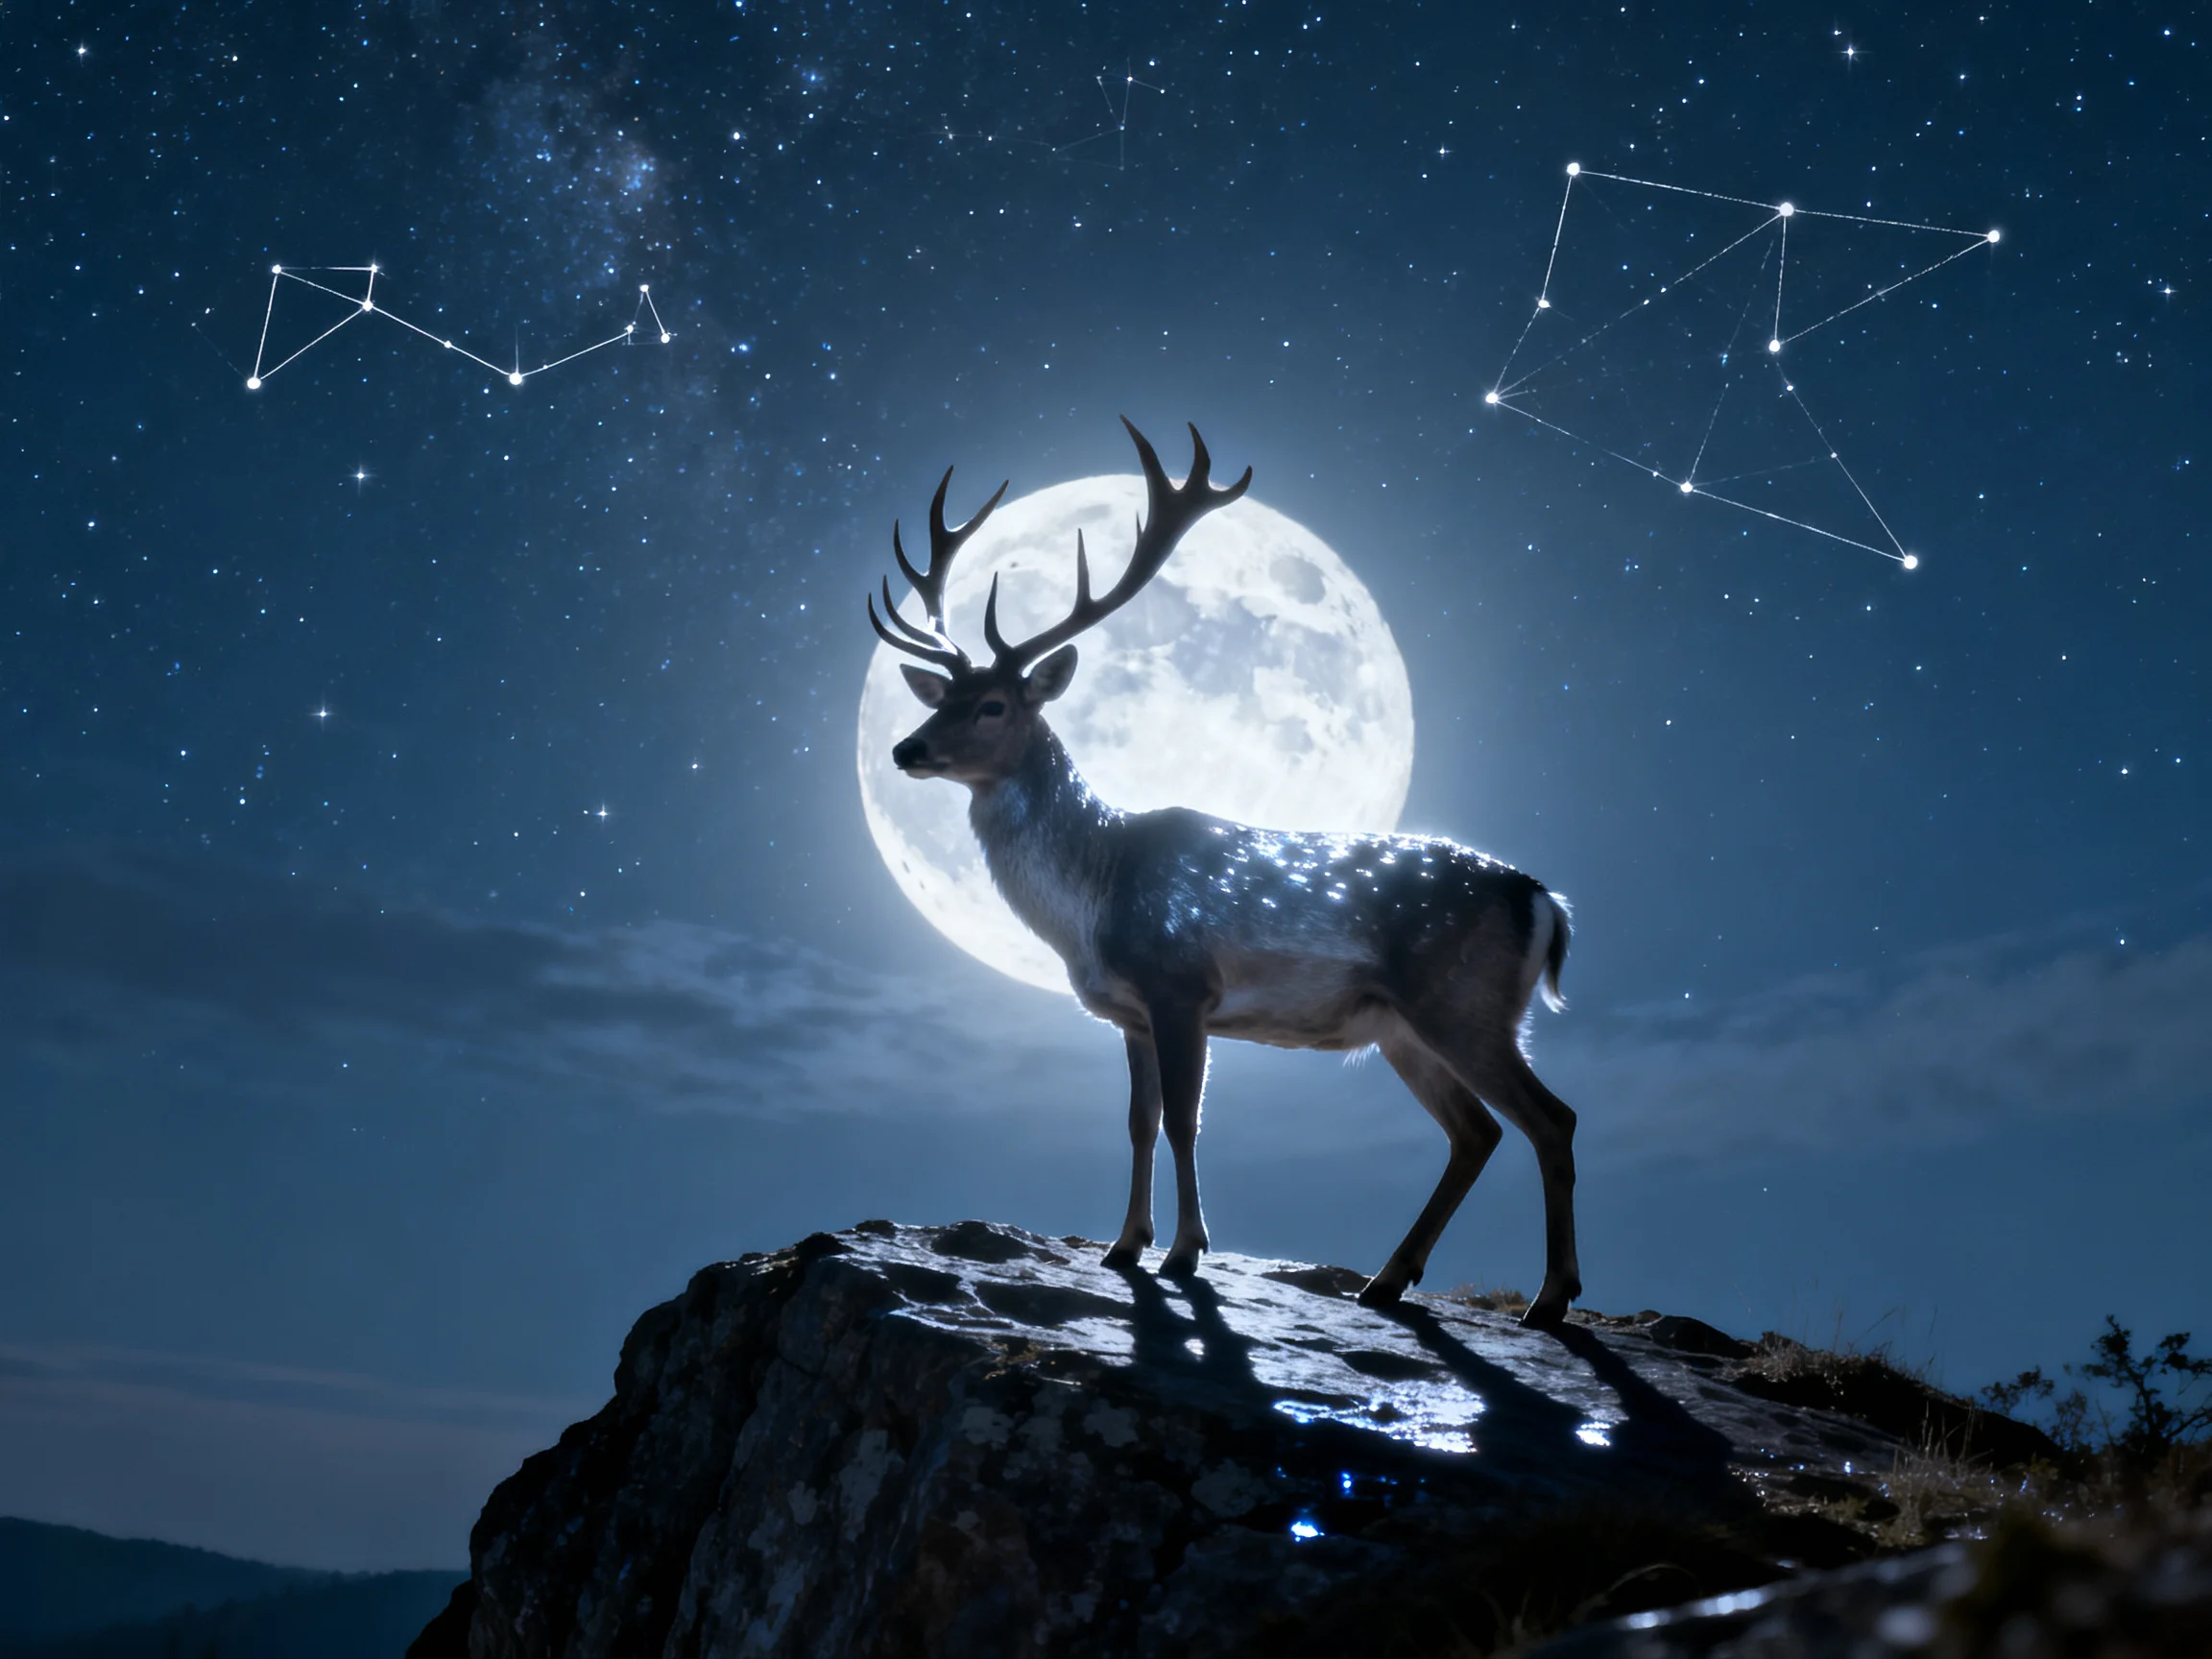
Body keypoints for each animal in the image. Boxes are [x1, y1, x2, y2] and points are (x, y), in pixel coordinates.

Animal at [867, 420, 1582, 1326]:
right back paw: (1388, 1279)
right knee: (1477, 1132)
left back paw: (1549, 1299)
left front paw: (1184, 1251)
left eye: (993, 705)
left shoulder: (1182, 987)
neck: (1092, 901)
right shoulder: (1130, 1014)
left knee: (1550, 1119)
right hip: (1403, 1026)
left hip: (1465, 1004)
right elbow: (1137, 1122)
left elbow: (1183, 1121)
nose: (904, 748)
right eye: (938, 699)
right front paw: (1123, 1245)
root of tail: (1544, 902)